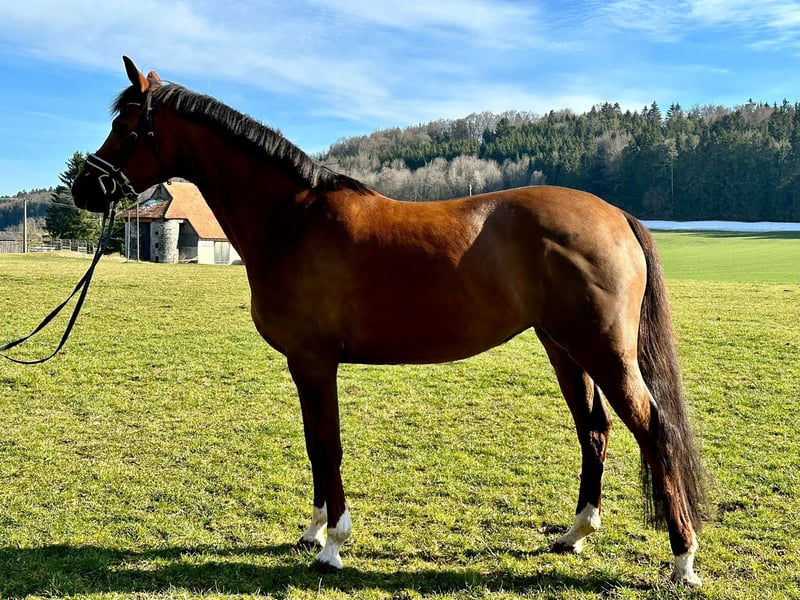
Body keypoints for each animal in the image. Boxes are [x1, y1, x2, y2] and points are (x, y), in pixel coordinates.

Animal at [70, 57, 708, 584]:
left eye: (130, 124)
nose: (84, 186)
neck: (291, 220)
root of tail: (618, 215)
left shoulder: (314, 360)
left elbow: (328, 445)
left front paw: (333, 544)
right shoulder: (305, 364)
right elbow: (314, 445)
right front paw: (313, 530)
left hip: (603, 351)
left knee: (653, 430)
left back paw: (682, 558)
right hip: (564, 347)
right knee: (594, 430)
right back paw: (575, 534)